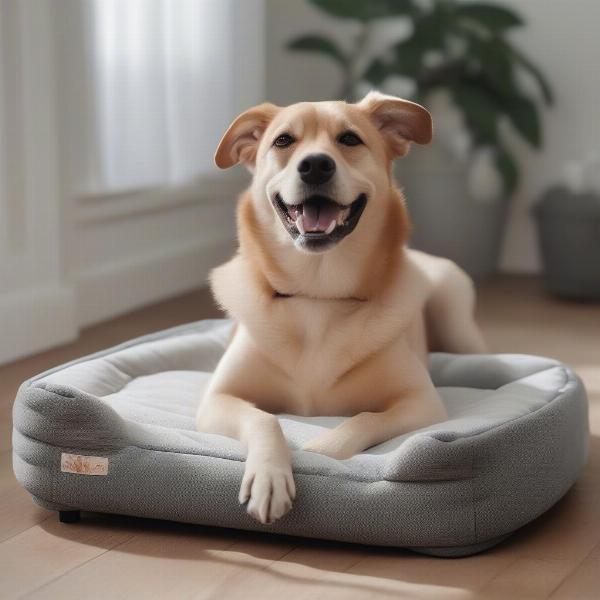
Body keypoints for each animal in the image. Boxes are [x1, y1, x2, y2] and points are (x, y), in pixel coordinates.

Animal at [197, 91, 488, 524]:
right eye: (283, 141)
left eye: (350, 139)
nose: (315, 165)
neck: (319, 294)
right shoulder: (217, 399)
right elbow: (264, 419)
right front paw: (270, 475)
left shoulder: (422, 402)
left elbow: (363, 419)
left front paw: (319, 453)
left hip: (455, 316)